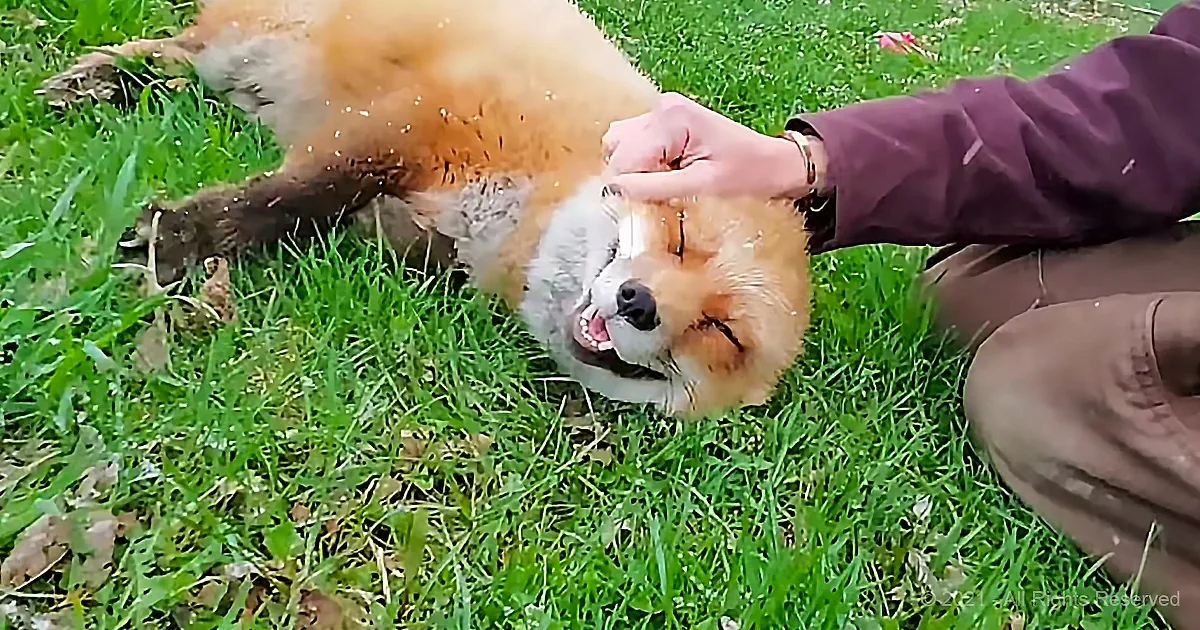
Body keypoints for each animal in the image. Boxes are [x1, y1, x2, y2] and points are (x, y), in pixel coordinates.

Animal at [42, 0, 812, 416]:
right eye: (679, 234)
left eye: (722, 332)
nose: (639, 302)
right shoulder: (410, 120)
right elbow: (289, 199)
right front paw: (179, 237)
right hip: (245, 45)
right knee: (177, 50)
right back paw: (97, 77)